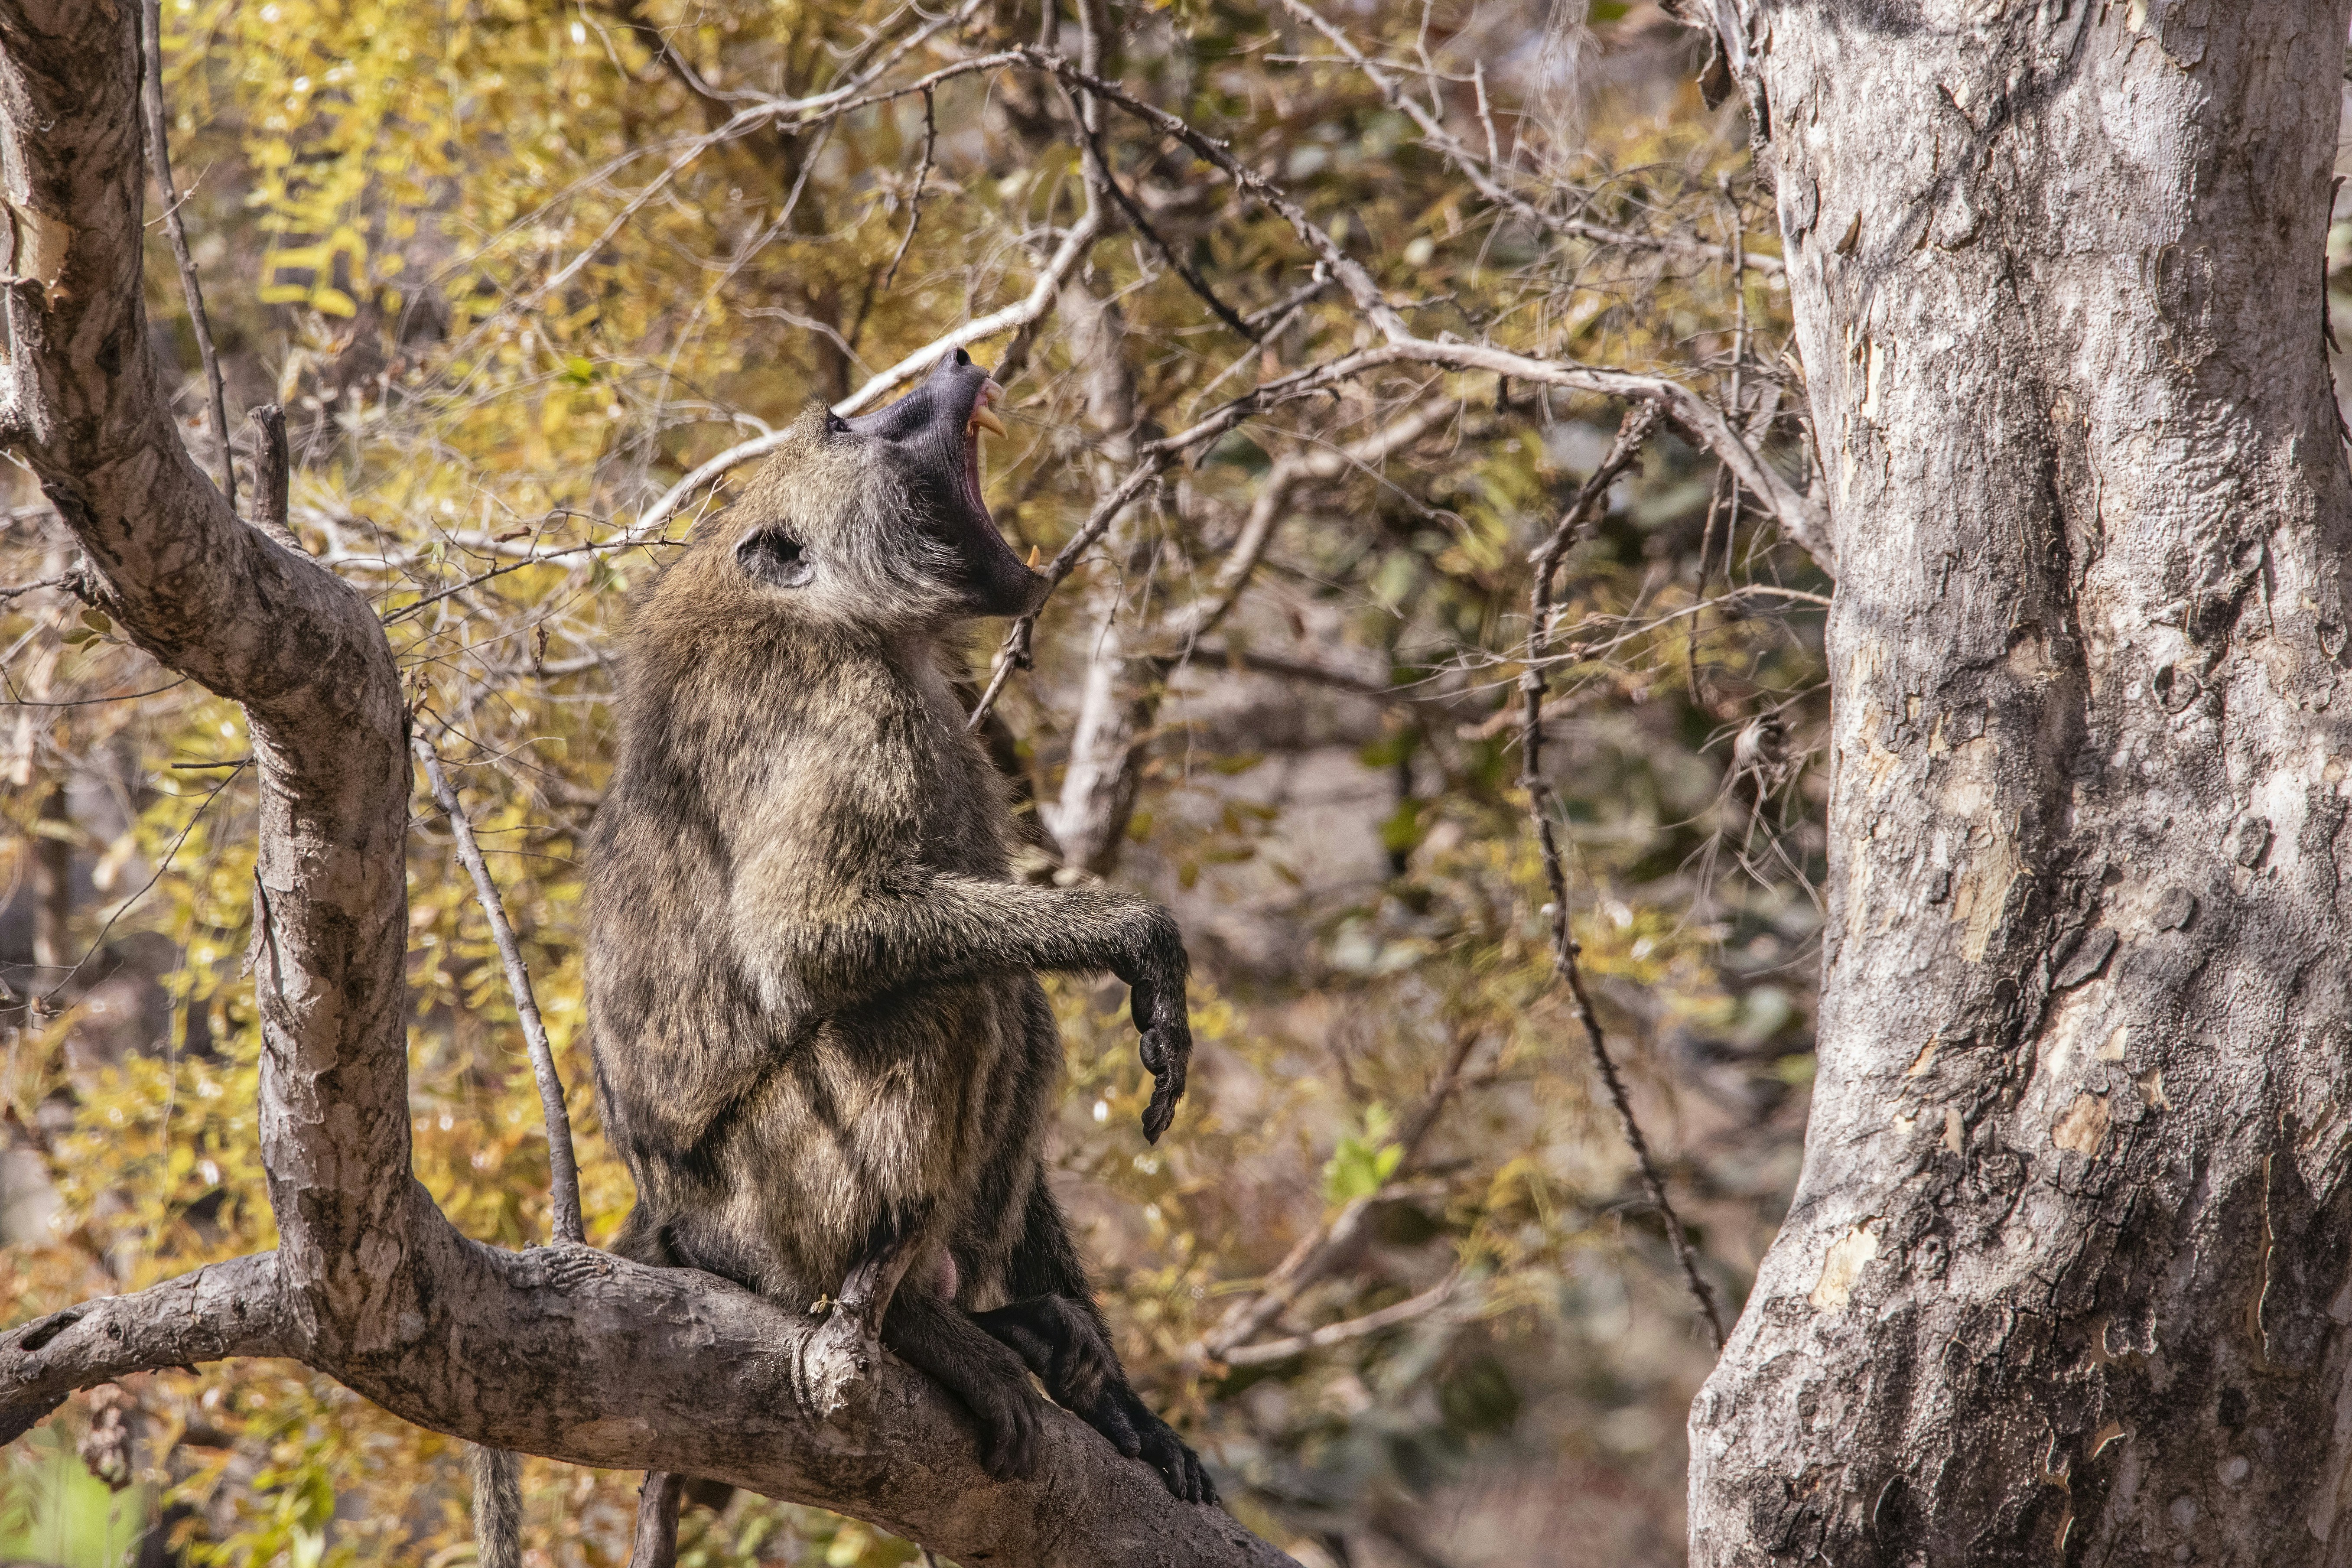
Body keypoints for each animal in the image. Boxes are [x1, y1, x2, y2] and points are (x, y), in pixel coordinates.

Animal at [582, 349, 1216, 1518]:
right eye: (843, 426)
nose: (961, 360)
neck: (843, 613)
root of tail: (683, 1227)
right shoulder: (846, 711)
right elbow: (806, 935)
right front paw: (1136, 934)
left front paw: (1127, 1409)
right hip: (773, 1202)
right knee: (954, 996)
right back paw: (921, 1323)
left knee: (1014, 1002)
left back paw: (1012, 1326)